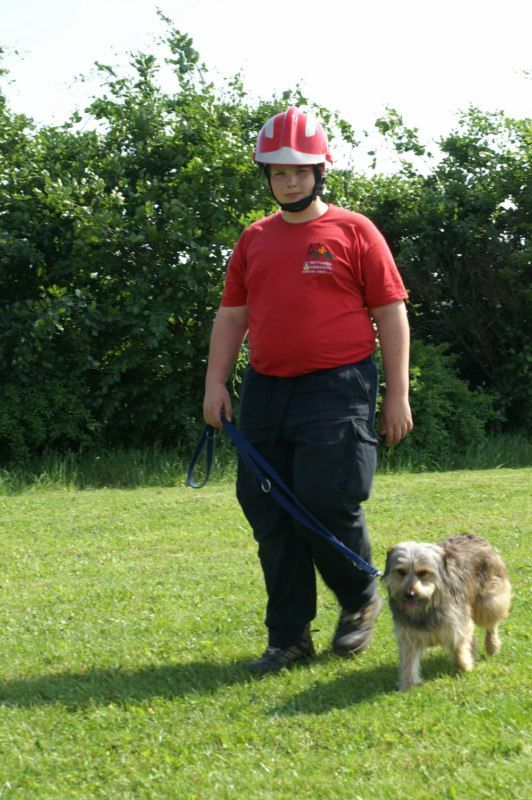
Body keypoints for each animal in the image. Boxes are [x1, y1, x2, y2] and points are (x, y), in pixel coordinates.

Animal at [382, 534, 511, 691]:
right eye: (401, 572)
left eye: (423, 573)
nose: (409, 594)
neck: (427, 607)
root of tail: (474, 536)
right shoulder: (408, 635)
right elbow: (408, 661)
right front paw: (406, 685)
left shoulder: (457, 623)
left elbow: (458, 647)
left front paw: (464, 667)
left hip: (488, 602)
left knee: (491, 625)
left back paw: (492, 645)